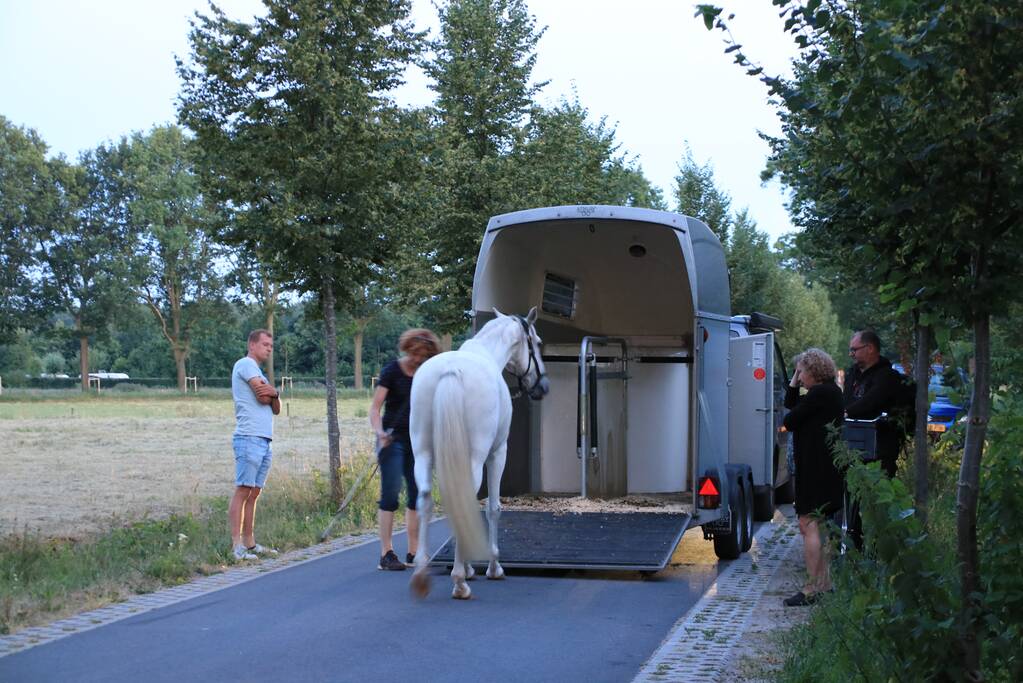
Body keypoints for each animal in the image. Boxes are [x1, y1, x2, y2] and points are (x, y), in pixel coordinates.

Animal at [408, 308, 549, 600]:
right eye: (538, 342)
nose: (542, 387)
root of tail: (450, 371)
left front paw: (471, 566)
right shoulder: (497, 453)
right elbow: (493, 508)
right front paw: (493, 567)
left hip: (423, 455)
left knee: (425, 500)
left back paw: (421, 574)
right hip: (474, 458)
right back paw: (460, 582)